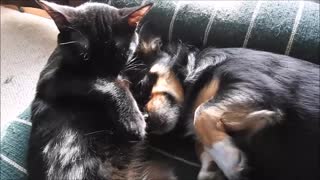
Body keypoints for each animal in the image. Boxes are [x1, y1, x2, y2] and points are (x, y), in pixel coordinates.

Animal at [26, 0, 154, 179]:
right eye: (84, 56)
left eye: (119, 54)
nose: (105, 73)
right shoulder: (49, 81)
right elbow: (105, 84)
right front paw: (133, 119)